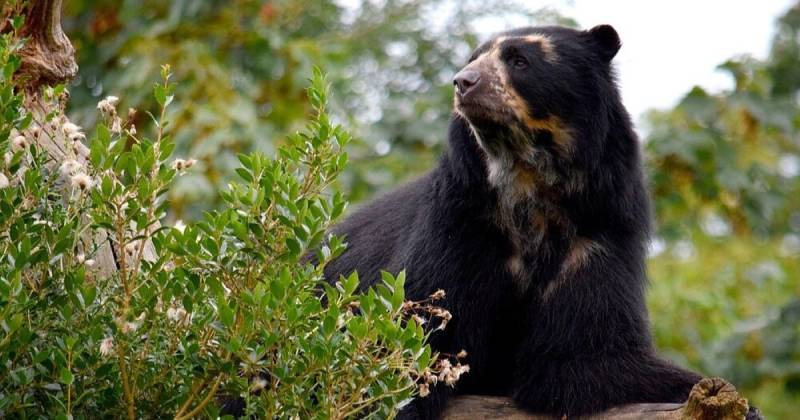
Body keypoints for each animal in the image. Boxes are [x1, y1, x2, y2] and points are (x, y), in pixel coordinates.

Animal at [320, 25, 761, 419]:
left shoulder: (597, 237)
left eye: (520, 60)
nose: (463, 82)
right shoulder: (460, 226)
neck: (529, 185)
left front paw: (741, 405)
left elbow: (583, 357)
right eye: (472, 59)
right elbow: (414, 341)